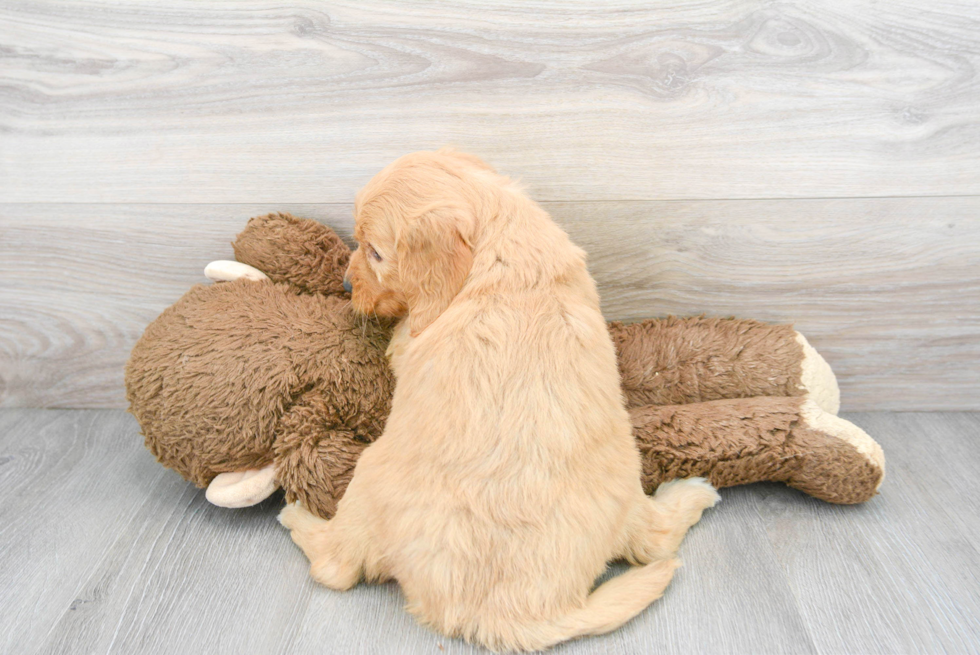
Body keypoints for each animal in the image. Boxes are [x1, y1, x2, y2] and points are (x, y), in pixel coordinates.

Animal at [278, 150, 720, 652]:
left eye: (374, 252)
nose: (348, 286)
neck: (500, 245)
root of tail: (512, 613)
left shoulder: (409, 336)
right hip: (627, 485)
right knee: (656, 540)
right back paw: (694, 492)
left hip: (368, 476)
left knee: (334, 567)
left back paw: (297, 517)